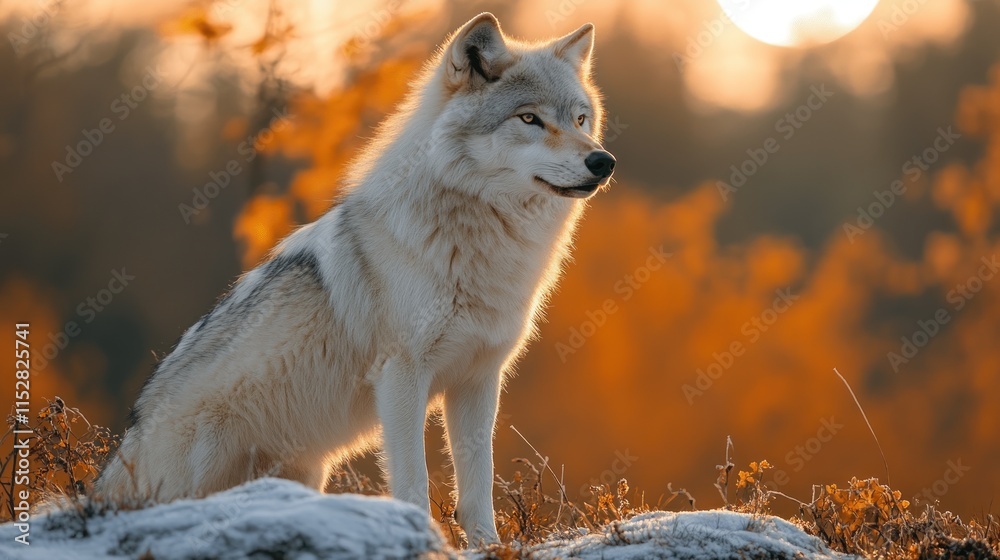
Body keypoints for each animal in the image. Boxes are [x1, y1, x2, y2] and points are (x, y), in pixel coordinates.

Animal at [95, 12, 615, 545]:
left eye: (580, 120)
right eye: (529, 119)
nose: (603, 161)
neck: (478, 243)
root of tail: (116, 462)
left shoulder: (478, 379)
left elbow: (477, 485)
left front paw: (489, 547)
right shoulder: (401, 376)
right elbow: (414, 482)